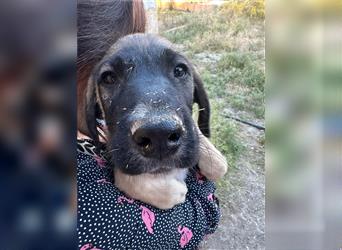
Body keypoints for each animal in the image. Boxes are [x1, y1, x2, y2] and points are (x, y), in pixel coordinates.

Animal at [84, 33, 226, 209]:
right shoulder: (121, 160)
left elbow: (218, 165)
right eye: (109, 78)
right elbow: (134, 181)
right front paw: (175, 191)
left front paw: (214, 160)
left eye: (179, 70)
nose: (159, 135)